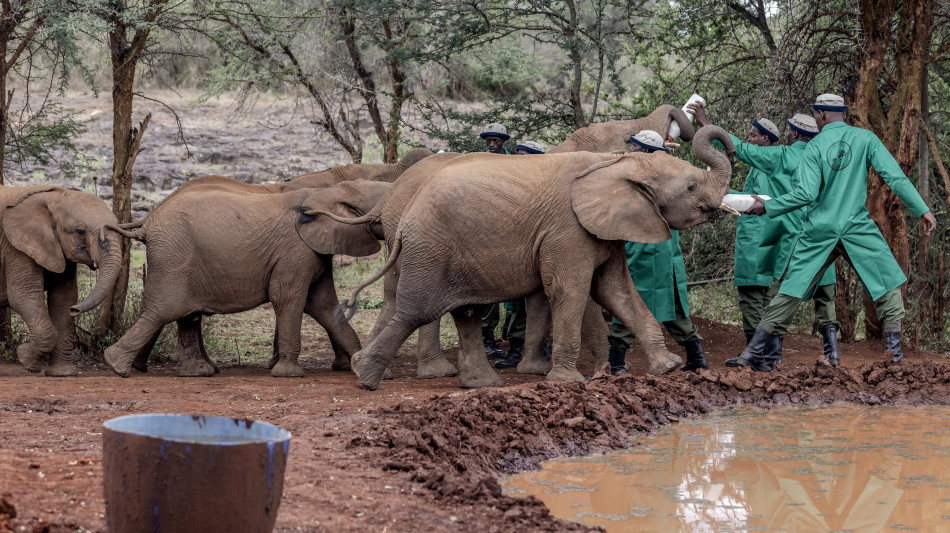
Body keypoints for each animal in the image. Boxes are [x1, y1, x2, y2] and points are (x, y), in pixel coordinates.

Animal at [0, 185, 126, 376]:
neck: (55, 196)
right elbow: (23, 296)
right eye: (80, 232)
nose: (75, 310)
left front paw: (62, 374)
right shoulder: (15, 246)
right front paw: (24, 358)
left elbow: (64, 298)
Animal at [108, 179, 394, 378]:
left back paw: (197, 373)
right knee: (165, 309)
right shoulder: (295, 250)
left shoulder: (314, 252)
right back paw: (116, 366)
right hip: (173, 256)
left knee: (186, 314)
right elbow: (288, 298)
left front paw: (374, 373)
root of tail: (148, 221)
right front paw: (289, 375)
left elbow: (324, 306)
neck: (329, 191)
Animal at [340, 126, 736, 388]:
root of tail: (403, 211)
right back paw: (367, 377)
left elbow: (617, 291)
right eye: (691, 187)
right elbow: (571, 290)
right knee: (416, 310)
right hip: (432, 247)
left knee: (465, 312)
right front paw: (569, 381)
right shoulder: (567, 228)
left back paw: (480, 384)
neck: (614, 163)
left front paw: (666, 368)